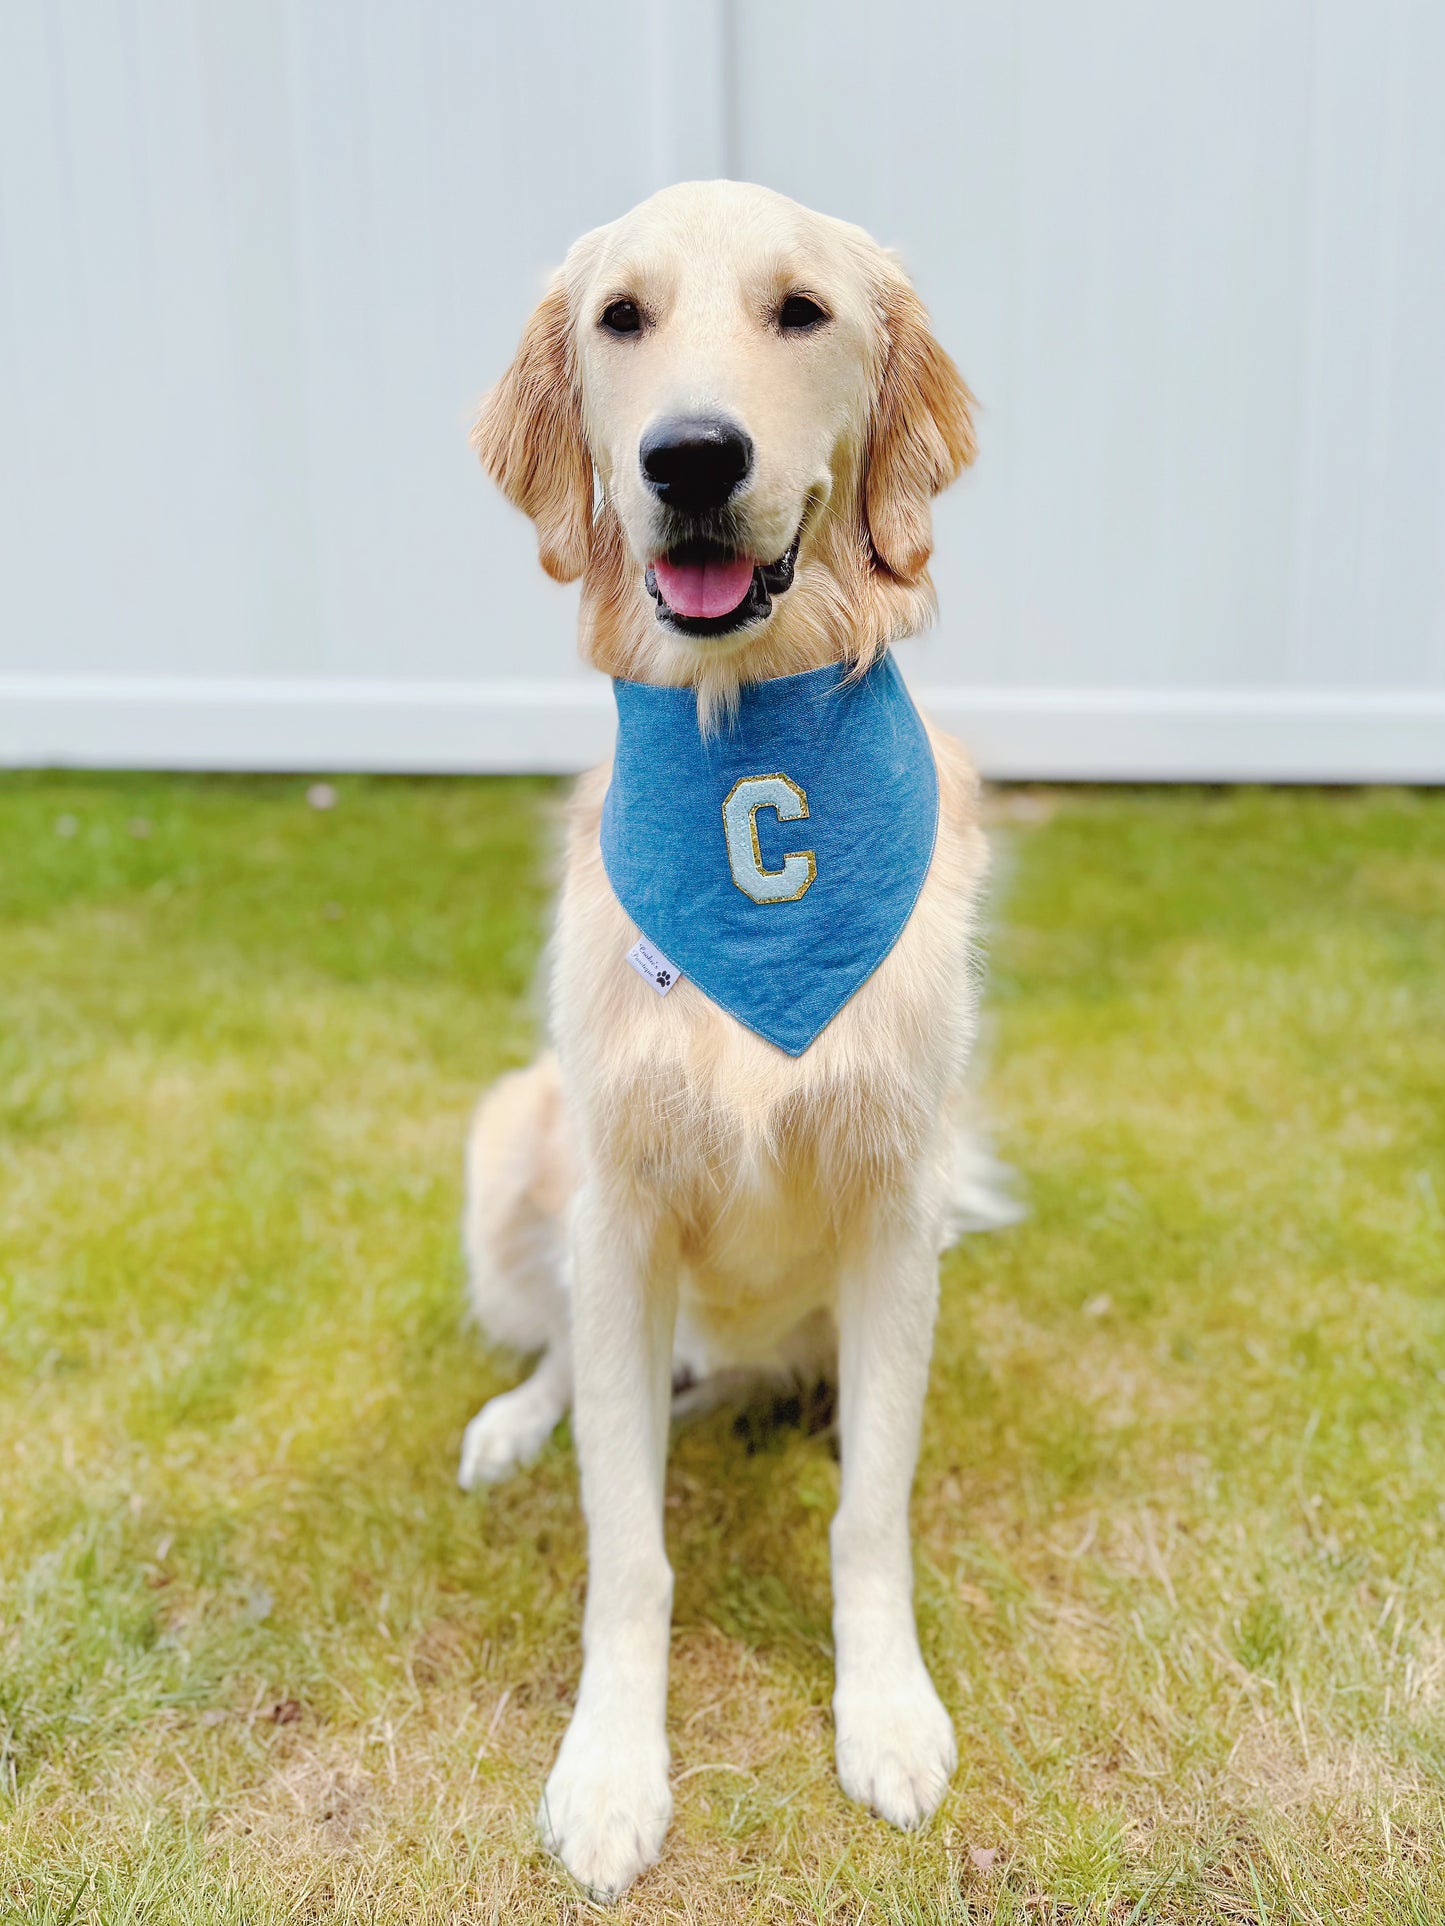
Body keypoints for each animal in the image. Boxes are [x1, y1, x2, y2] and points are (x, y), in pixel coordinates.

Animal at [458, 181, 1009, 1895]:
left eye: (800, 311)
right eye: (620, 318)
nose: (691, 459)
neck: (744, 742)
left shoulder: (898, 1205)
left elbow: (869, 1514)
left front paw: (884, 1714)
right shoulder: (622, 1206)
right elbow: (626, 1546)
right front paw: (610, 1766)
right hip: (518, 1141)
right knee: (573, 1359)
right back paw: (517, 1419)